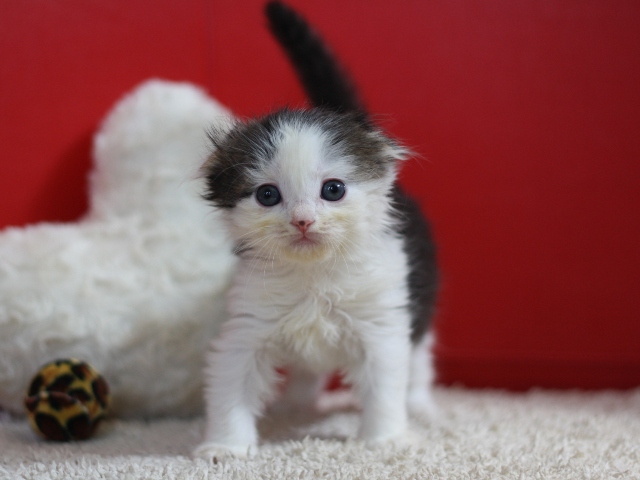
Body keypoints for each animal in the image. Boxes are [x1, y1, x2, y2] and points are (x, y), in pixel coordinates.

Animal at [192, 0, 438, 458]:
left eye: (333, 190)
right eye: (267, 195)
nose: (303, 220)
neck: (314, 274)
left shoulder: (381, 321)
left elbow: (386, 382)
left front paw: (386, 439)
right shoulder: (247, 324)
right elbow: (231, 383)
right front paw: (225, 447)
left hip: (423, 294)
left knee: (419, 356)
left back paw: (421, 406)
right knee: (308, 372)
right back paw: (298, 405)